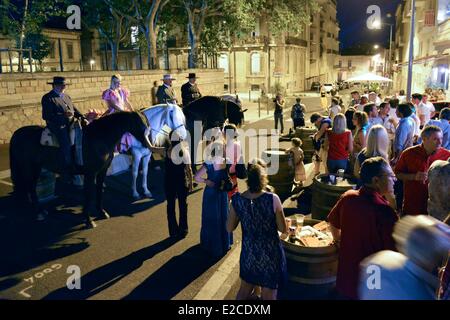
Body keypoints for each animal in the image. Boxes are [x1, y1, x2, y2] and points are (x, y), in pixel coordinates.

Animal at [8, 111, 152, 229]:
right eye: (138, 123)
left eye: (146, 123)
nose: (147, 144)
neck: (99, 138)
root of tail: (17, 134)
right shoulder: (90, 174)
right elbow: (89, 195)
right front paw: (88, 220)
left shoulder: (102, 172)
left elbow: (99, 192)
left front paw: (102, 212)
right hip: (29, 168)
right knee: (31, 188)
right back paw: (39, 213)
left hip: (36, 168)